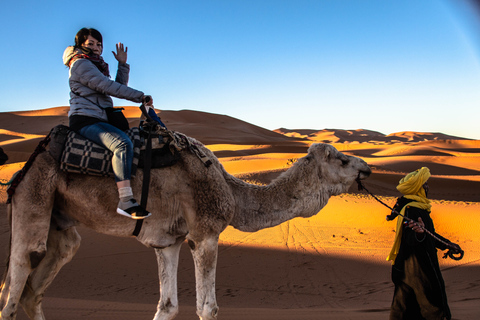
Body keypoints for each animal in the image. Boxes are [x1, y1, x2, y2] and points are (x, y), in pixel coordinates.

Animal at [0, 131, 372, 320]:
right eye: (341, 159)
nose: (366, 168)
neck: (232, 193)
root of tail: (24, 167)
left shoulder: (169, 241)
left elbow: (168, 305)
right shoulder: (204, 235)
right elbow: (208, 308)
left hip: (60, 220)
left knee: (37, 286)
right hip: (34, 195)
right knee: (14, 286)